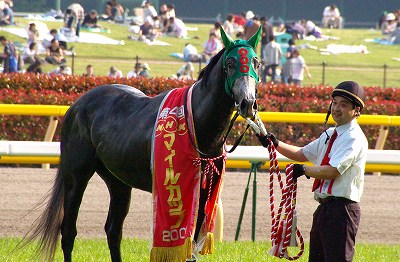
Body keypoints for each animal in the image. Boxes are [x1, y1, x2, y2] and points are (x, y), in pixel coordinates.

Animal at [25, 27, 262, 262]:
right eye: (230, 63)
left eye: (256, 62)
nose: (248, 103)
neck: (196, 123)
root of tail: (76, 106)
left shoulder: (204, 193)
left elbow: (192, 249)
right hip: (76, 177)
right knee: (68, 231)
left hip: (118, 180)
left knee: (113, 230)